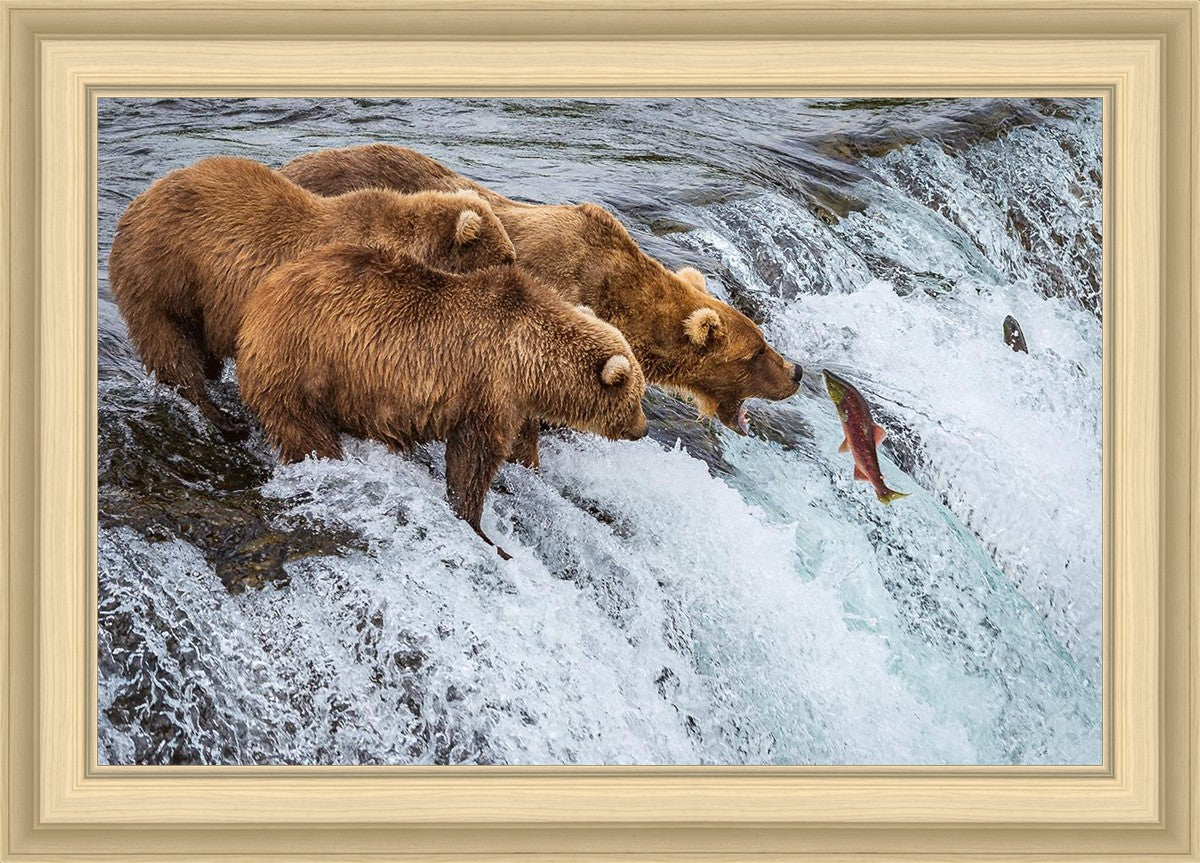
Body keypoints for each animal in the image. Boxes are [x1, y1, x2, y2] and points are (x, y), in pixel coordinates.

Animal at [108, 155, 516, 440]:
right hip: (165, 274)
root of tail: (136, 203)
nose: (518, 275)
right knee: (171, 348)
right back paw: (222, 418)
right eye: (506, 258)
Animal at [236, 241, 648, 559]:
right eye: (636, 397)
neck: (532, 360)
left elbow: (519, 445)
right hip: (303, 363)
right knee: (305, 429)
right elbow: (473, 458)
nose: (643, 429)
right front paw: (482, 529)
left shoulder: (515, 401)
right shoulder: (488, 386)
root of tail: (259, 298)